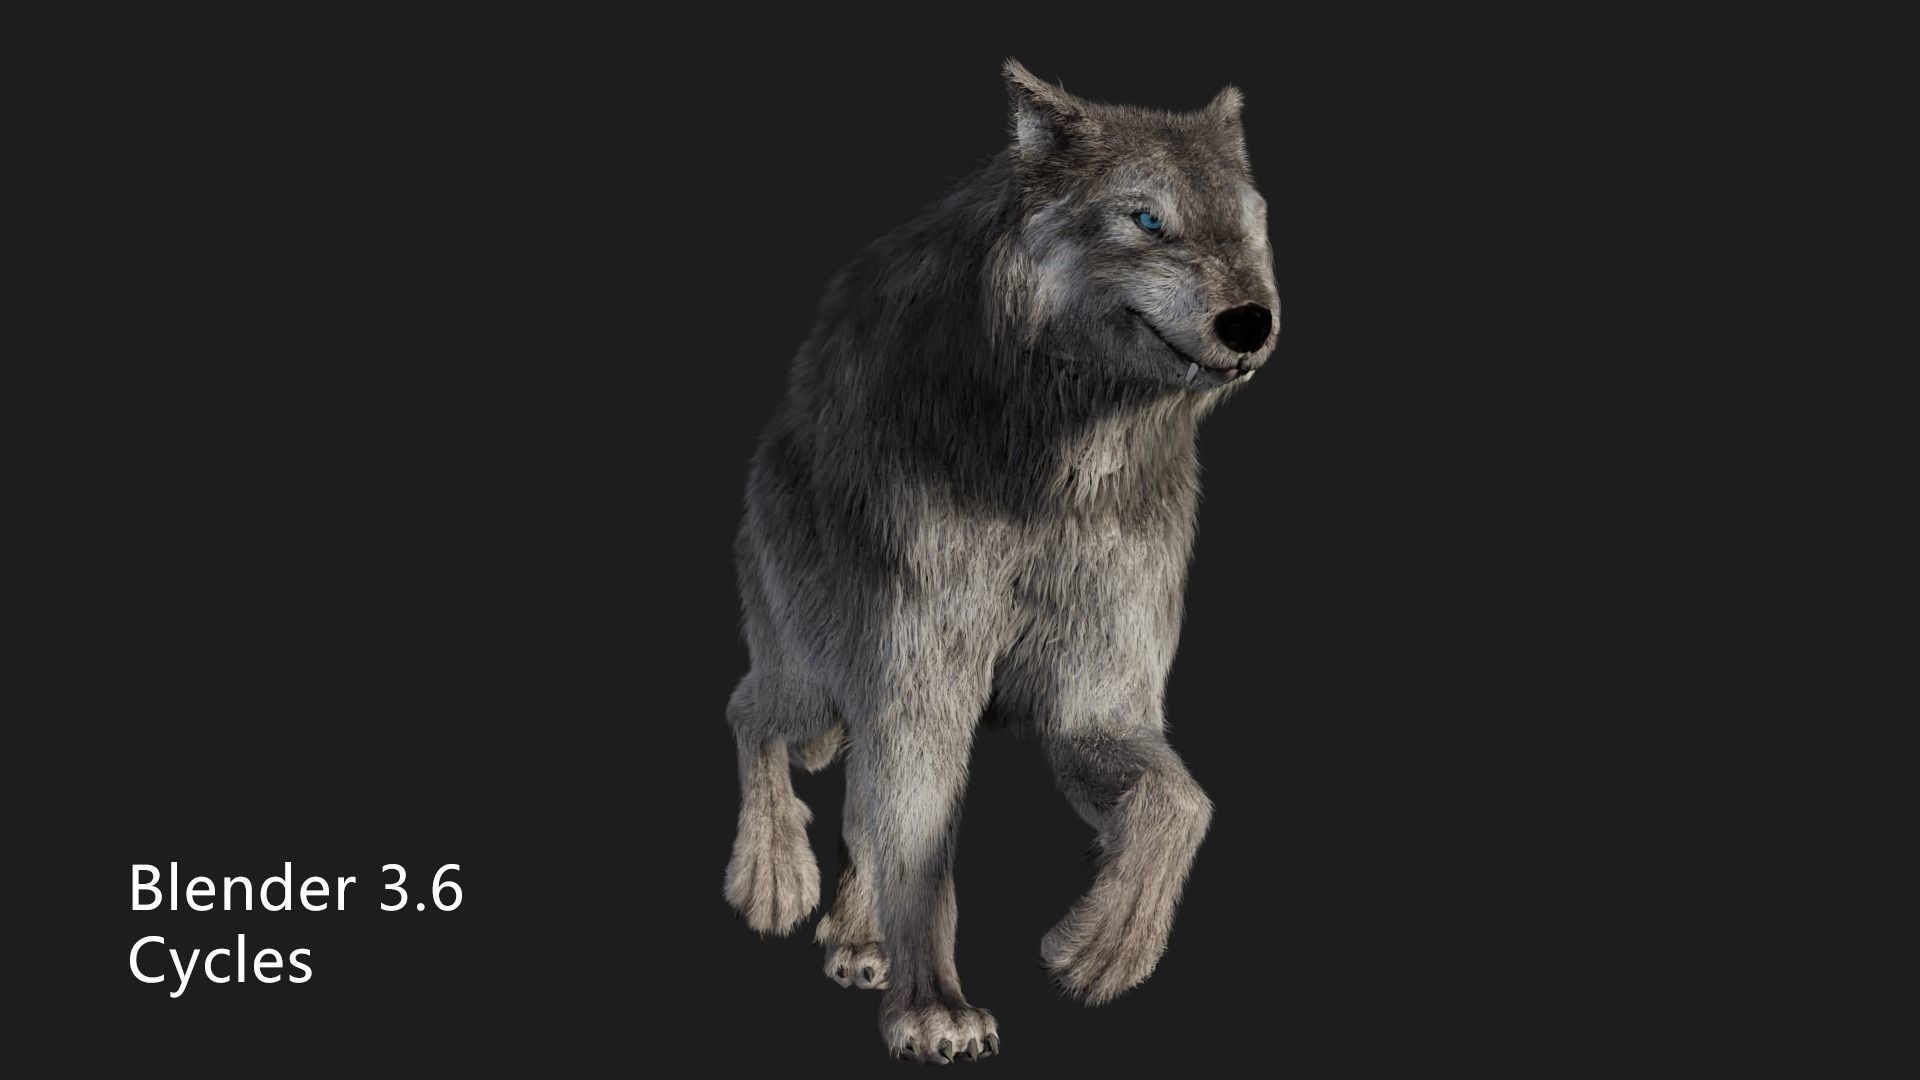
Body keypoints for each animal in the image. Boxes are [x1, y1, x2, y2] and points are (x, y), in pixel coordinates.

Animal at [723, 59, 1278, 1063]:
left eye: (1251, 220)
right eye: (1147, 219)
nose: (1252, 321)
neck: (1056, 465)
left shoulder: (1097, 705)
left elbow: (1182, 803)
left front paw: (1102, 947)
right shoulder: (924, 681)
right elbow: (922, 855)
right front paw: (935, 1010)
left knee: (858, 803)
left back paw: (858, 940)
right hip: (815, 682)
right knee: (753, 716)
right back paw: (774, 876)